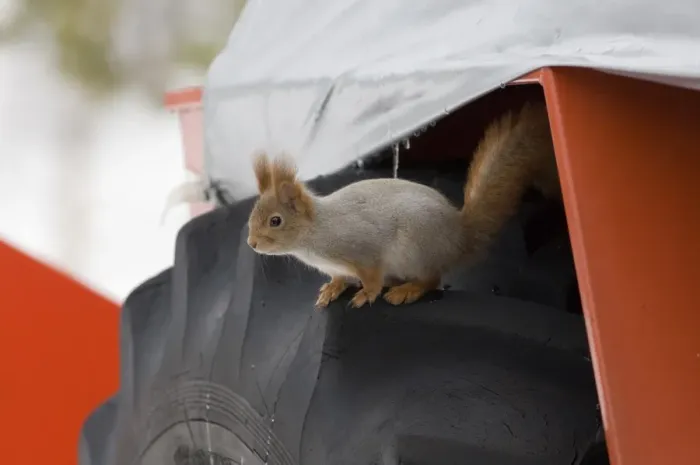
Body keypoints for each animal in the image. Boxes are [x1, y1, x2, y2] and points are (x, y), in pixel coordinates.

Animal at [246, 101, 557, 309]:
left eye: (276, 221)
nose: (252, 243)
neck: (315, 234)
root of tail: (460, 238)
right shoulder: (338, 266)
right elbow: (340, 278)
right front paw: (332, 289)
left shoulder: (363, 249)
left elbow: (371, 275)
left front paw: (366, 294)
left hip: (416, 250)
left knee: (432, 280)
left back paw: (407, 290)